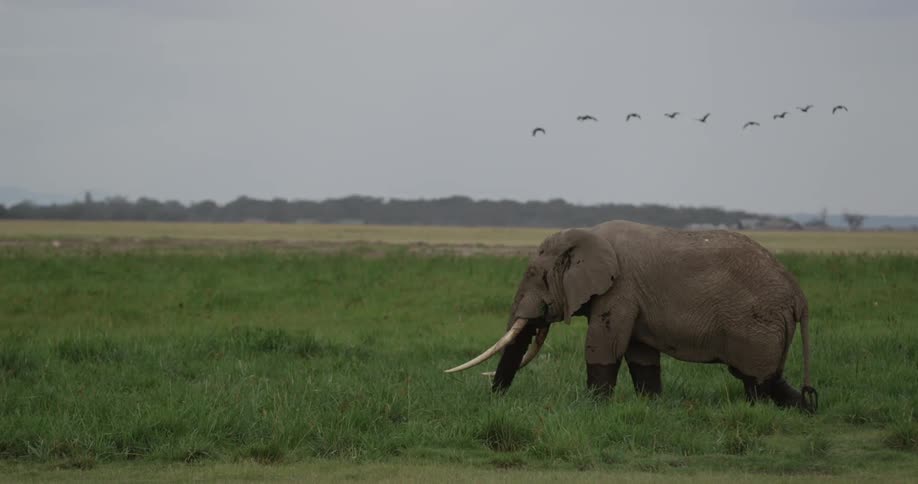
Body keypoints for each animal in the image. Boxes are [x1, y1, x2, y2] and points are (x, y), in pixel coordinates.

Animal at [445, 220, 818, 412]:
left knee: (756, 382)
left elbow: (603, 344)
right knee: (769, 380)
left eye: (537, 276)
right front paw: (650, 406)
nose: (494, 400)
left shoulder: (620, 289)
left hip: (757, 324)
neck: (587, 236)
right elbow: (640, 354)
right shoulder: (635, 298)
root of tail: (800, 297)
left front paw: (593, 408)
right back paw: (806, 410)